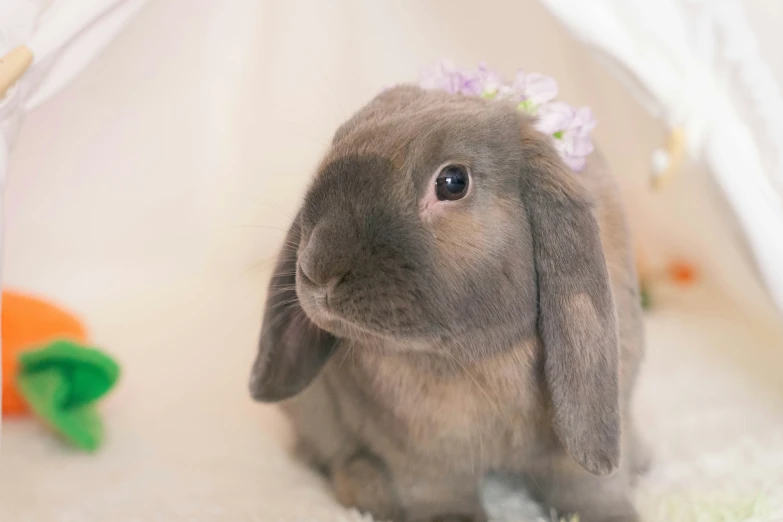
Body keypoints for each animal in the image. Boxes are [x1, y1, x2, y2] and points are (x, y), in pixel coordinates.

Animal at [251, 85, 648, 520]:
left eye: (453, 182)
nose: (316, 269)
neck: (473, 358)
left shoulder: (584, 435)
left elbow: (591, 488)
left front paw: (613, 515)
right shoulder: (422, 453)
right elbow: (438, 491)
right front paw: (452, 518)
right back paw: (368, 488)